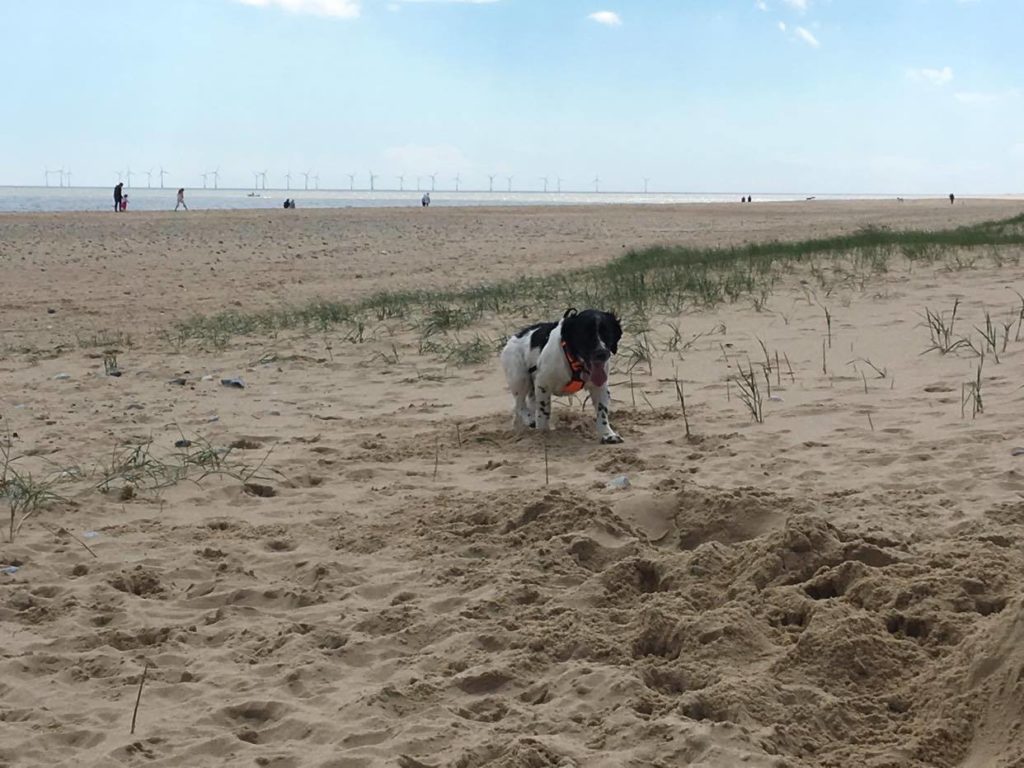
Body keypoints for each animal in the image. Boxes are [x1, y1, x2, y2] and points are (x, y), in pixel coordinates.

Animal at [497, 309, 622, 444]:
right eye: (585, 334)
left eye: (608, 333)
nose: (602, 353)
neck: (575, 362)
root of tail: (515, 337)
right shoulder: (543, 384)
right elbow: (543, 413)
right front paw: (543, 434)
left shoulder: (600, 387)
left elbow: (602, 412)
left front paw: (608, 434)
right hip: (520, 379)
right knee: (520, 405)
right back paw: (530, 420)